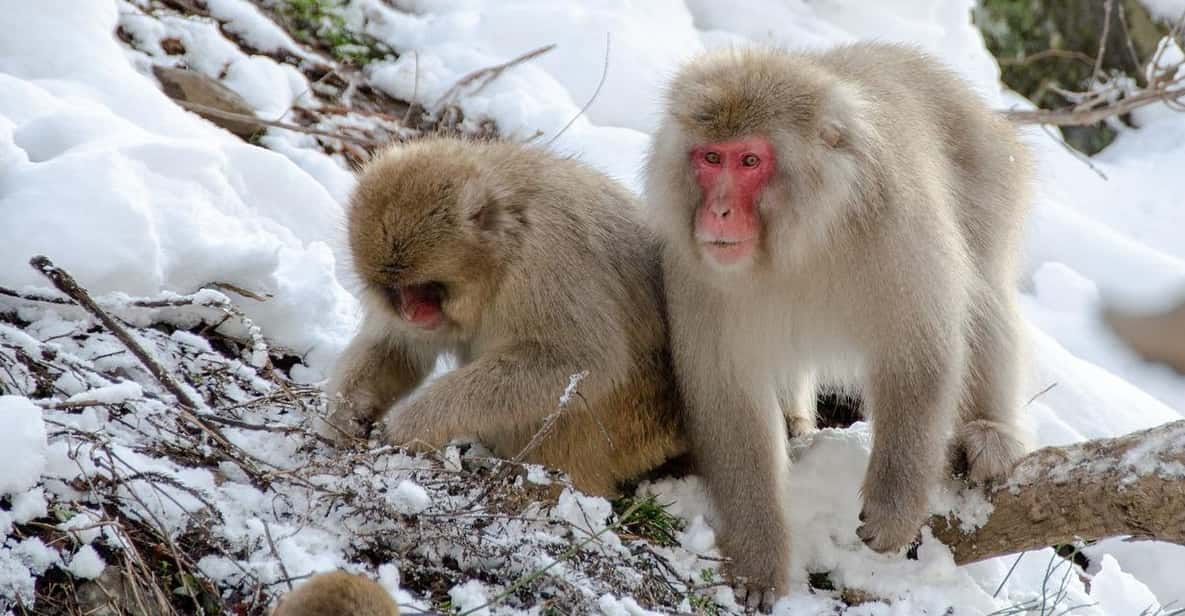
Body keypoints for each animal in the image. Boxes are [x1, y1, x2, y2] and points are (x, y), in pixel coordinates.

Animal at [322, 137, 685, 498]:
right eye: (396, 290)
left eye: (424, 288)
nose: (411, 312)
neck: (506, 247)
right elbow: (399, 349)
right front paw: (345, 413)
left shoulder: (549, 256)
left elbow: (580, 360)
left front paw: (416, 420)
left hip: (630, 429)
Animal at [644, 43, 1033, 608]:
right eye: (711, 157)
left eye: (750, 160)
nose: (717, 212)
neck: (803, 241)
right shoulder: (696, 273)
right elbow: (731, 401)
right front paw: (759, 559)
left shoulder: (896, 228)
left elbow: (920, 354)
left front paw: (895, 505)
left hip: (989, 174)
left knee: (983, 289)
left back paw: (991, 433)